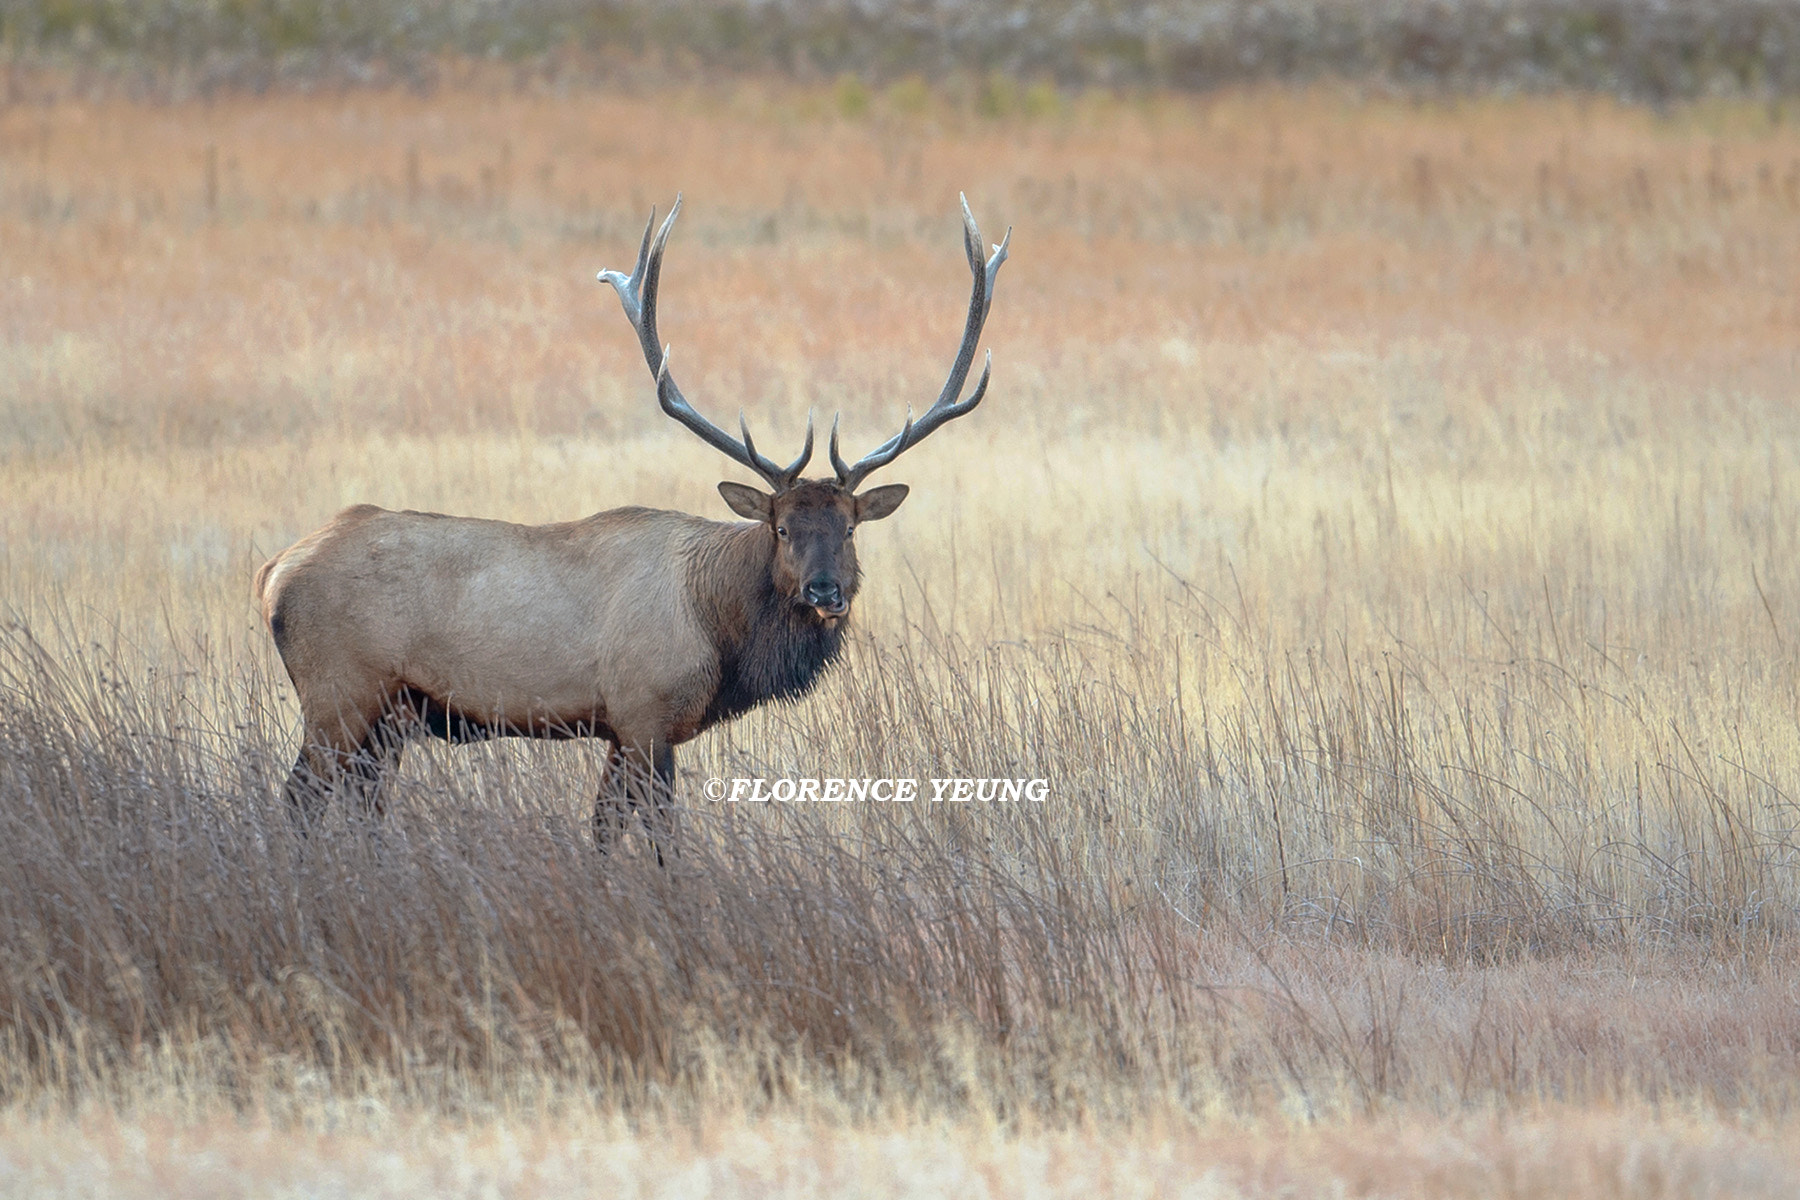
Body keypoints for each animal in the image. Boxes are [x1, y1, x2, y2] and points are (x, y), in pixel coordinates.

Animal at [253, 192, 1015, 859]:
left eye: (849, 527)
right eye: (781, 529)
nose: (825, 591)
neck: (719, 629)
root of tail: (273, 573)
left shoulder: (620, 728)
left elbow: (602, 831)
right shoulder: (646, 712)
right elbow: (659, 837)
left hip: (387, 717)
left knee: (360, 807)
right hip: (338, 692)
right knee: (297, 802)